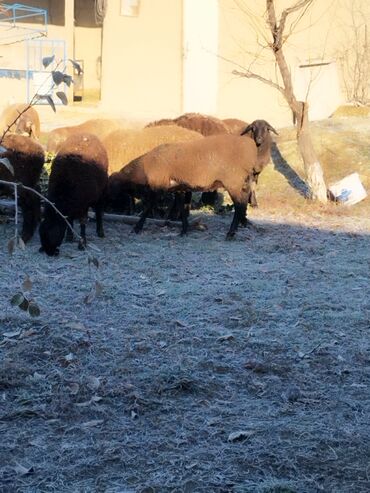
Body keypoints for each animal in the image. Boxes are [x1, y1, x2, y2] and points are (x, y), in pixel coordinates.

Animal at [111, 133, 258, 236]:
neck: (144, 167)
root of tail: (250, 147)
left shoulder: (159, 186)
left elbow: (149, 206)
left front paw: (137, 227)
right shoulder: (179, 188)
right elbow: (182, 207)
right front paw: (184, 230)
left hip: (233, 182)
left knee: (239, 205)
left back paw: (231, 233)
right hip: (242, 183)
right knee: (244, 202)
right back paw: (241, 225)